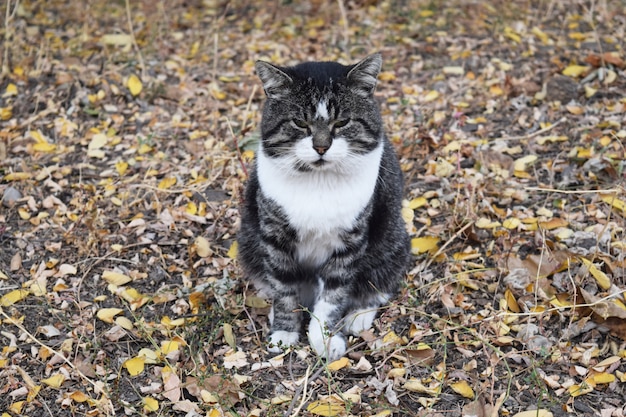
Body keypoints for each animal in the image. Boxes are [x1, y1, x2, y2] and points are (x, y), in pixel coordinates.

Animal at [238, 52, 410, 360]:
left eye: (341, 123)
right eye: (299, 123)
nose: (321, 147)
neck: (318, 182)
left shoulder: (350, 243)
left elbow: (334, 295)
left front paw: (326, 338)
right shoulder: (274, 236)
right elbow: (283, 288)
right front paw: (284, 331)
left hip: (393, 239)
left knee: (380, 282)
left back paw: (358, 316)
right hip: (248, 238)